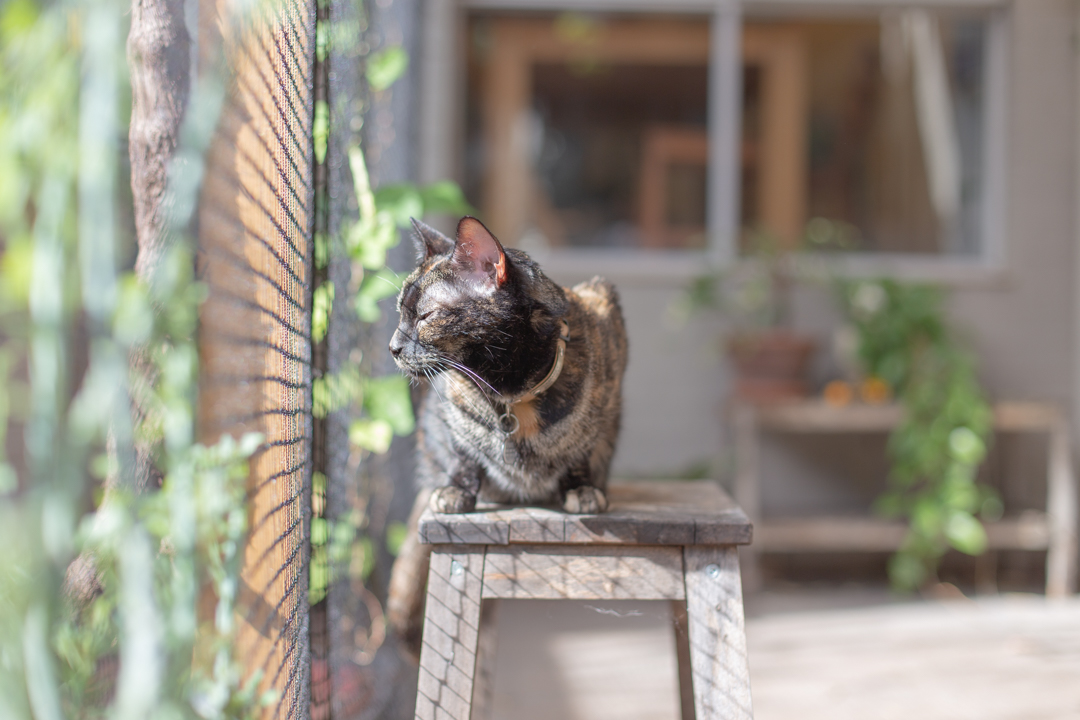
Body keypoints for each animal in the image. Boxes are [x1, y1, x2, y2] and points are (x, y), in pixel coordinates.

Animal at [390, 216, 630, 515]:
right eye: (400, 312)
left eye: (425, 316)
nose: (392, 347)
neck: (509, 388)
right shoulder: (448, 414)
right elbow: (462, 450)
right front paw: (456, 488)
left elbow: (584, 445)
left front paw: (581, 487)